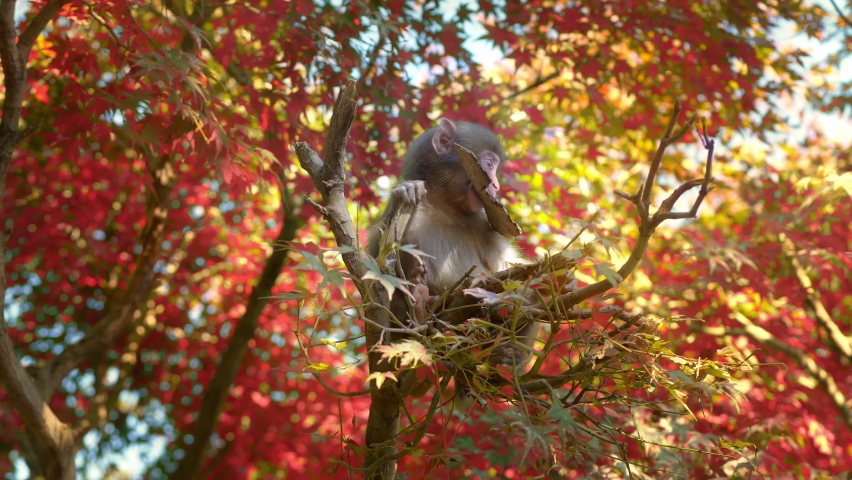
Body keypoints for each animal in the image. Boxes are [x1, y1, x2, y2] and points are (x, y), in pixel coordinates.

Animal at [367, 118, 538, 378]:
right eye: (488, 164)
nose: (495, 185)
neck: (445, 207)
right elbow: (374, 272)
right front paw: (404, 191)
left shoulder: (485, 223)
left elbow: (508, 268)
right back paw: (421, 305)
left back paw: (510, 354)